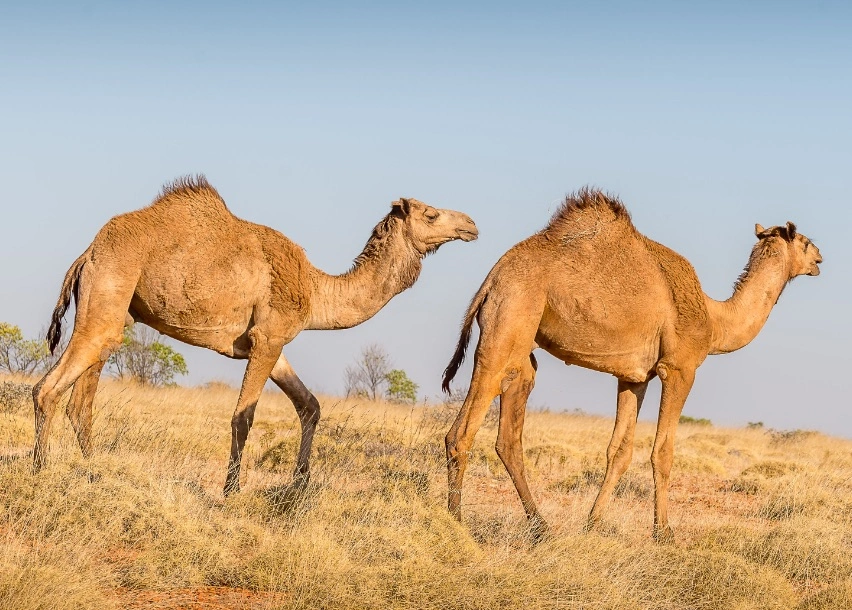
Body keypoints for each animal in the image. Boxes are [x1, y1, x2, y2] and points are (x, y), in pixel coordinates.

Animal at [34, 175, 478, 495]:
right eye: (432, 214)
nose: (471, 224)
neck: (315, 290)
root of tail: (88, 254)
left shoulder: (270, 343)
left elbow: (310, 406)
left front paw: (299, 486)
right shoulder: (268, 338)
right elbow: (243, 416)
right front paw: (231, 491)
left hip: (117, 310)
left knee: (82, 399)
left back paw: (91, 471)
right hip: (109, 290)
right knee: (48, 388)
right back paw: (40, 472)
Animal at [442, 188, 822, 541]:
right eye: (804, 241)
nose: (820, 257)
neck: (715, 321)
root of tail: (491, 280)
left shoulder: (634, 377)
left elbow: (619, 451)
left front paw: (593, 523)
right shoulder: (679, 369)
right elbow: (663, 453)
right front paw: (664, 533)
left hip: (522, 352)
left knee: (508, 435)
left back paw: (541, 527)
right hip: (509, 322)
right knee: (462, 431)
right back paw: (457, 523)